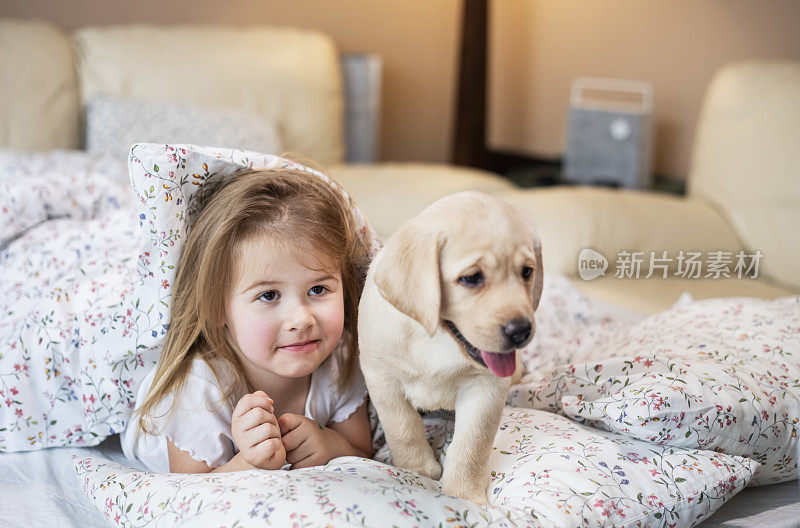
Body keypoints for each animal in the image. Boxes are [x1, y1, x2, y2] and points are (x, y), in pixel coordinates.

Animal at [360, 191, 544, 504]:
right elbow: (403, 428)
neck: (438, 338)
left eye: (526, 272)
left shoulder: (486, 388)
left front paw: (463, 495)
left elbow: (472, 445)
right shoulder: (381, 379)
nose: (521, 331)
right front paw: (417, 470)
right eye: (471, 278)